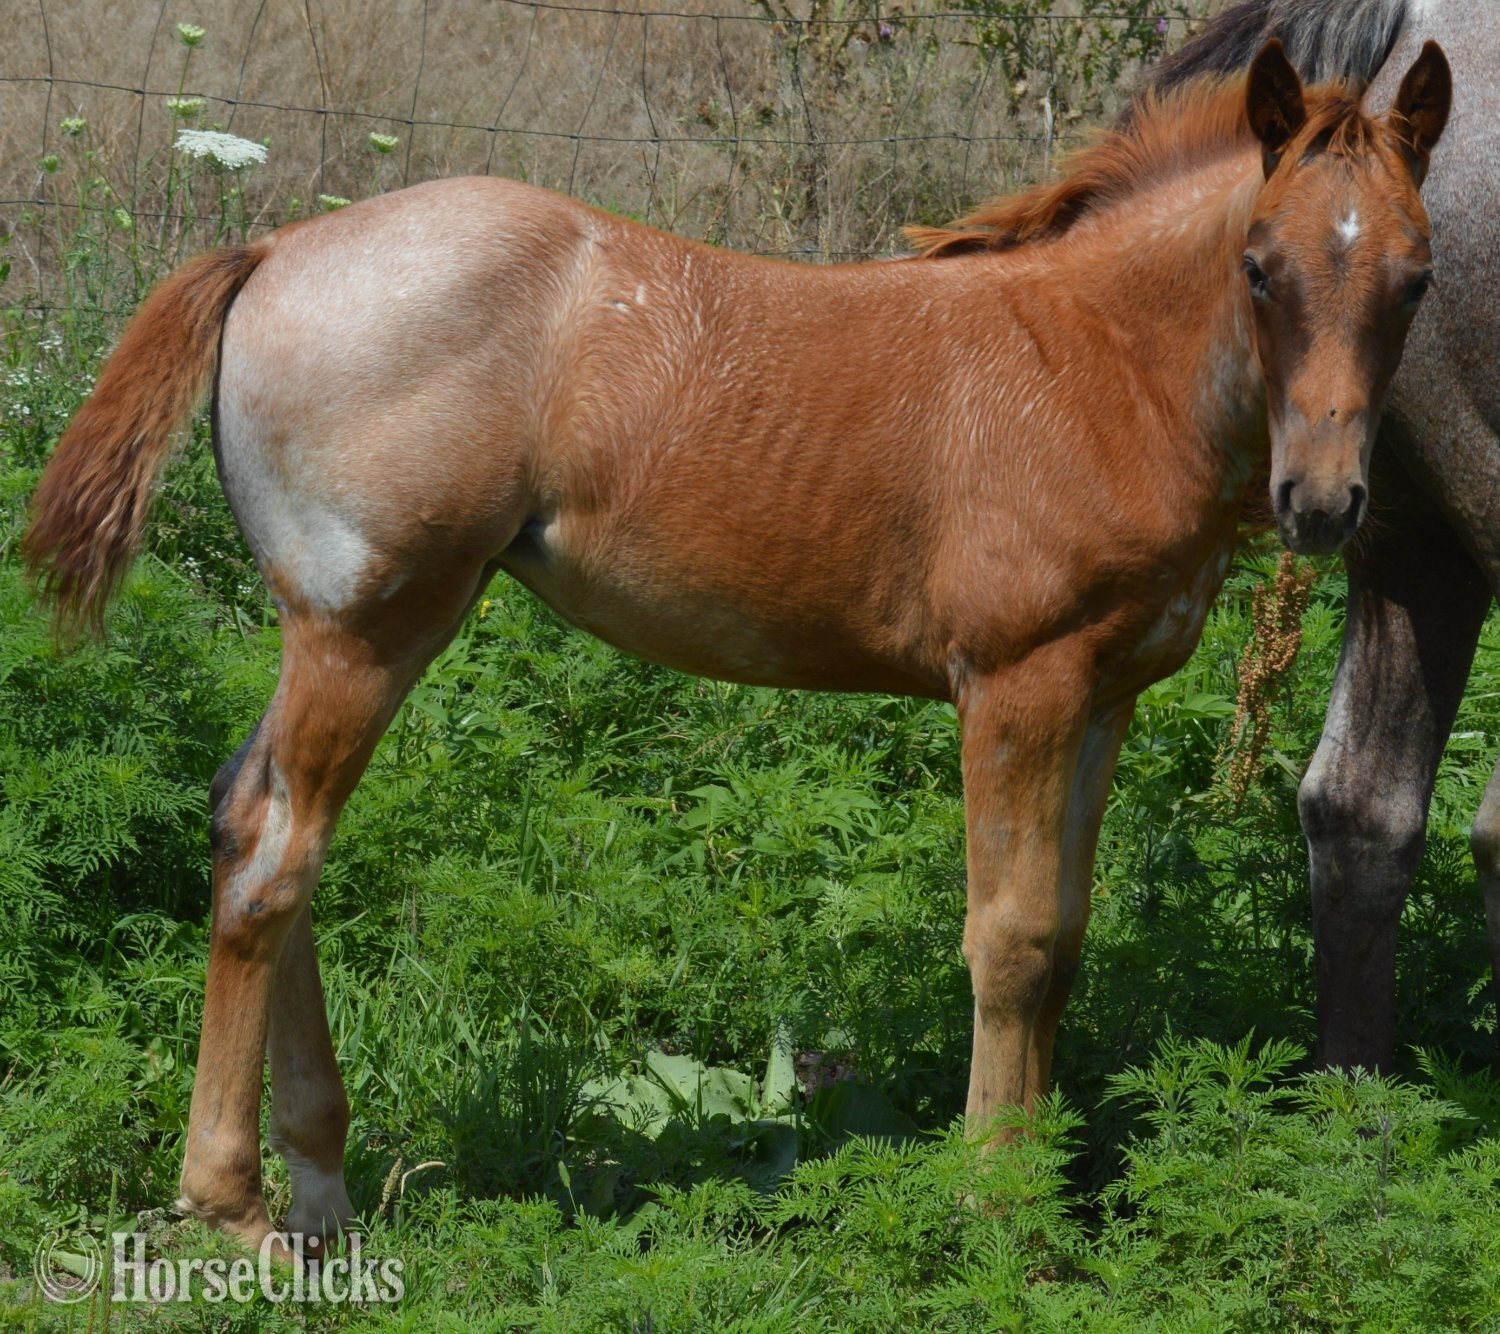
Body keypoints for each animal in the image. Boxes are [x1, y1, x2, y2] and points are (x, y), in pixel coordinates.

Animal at [22, 42, 1449, 1258]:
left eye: (1418, 279)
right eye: (1259, 265)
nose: (1323, 504)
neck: (1097, 366)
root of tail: (276, 245)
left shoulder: (1102, 695)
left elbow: (1067, 938)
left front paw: (1039, 1182)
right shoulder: (1015, 686)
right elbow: (1012, 939)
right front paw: (995, 1208)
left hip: (365, 630)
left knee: (249, 816)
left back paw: (318, 1182)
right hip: (363, 626)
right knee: (278, 853)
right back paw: (239, 1205)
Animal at [1147, 0, 1500, 1074]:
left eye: (1416, 282)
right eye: (1255, 273)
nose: (1310, 498)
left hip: (1414, 542)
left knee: (1358, 806)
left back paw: (1351, 1105)